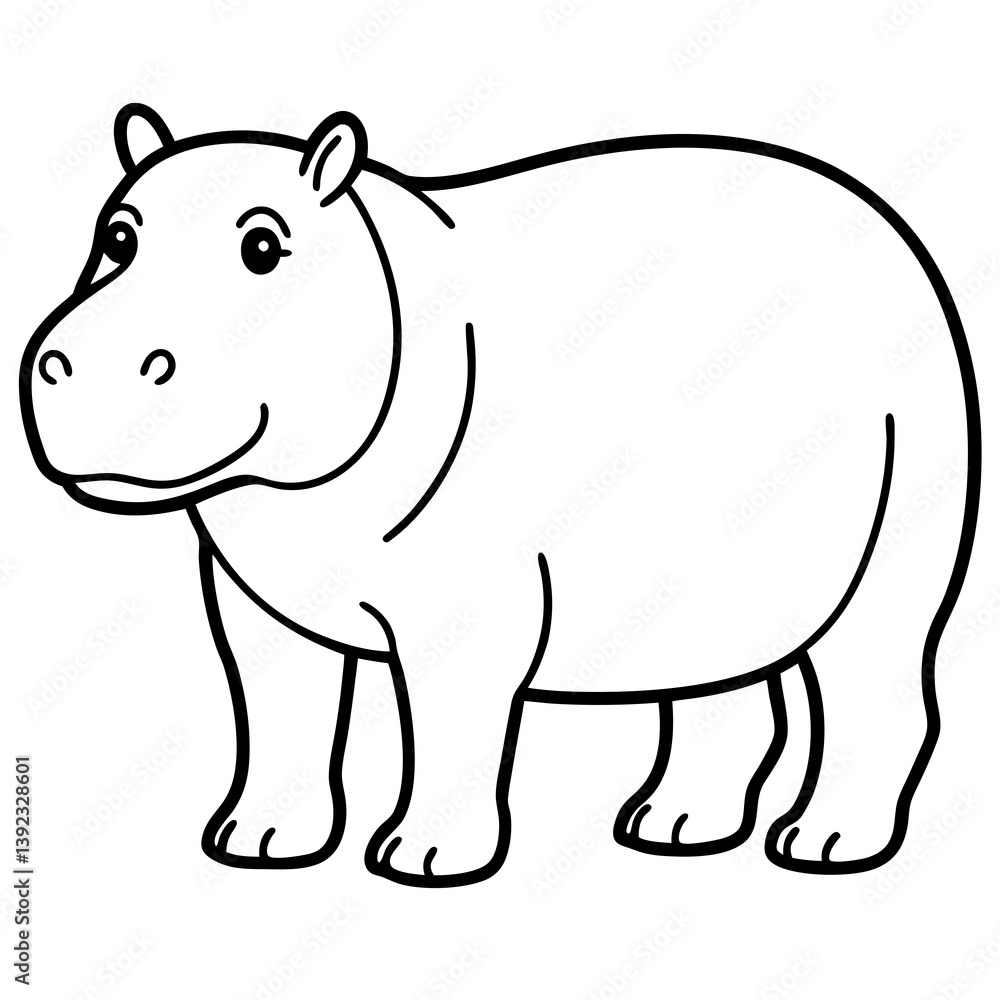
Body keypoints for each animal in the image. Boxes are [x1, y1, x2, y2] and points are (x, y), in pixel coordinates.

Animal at [20, 104, 980, 886]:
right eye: (116, 237)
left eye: (265, 246)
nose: (86, 366)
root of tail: (896, 229)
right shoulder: (251, 597)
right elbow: (275, 712)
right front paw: (255, 844)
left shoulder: (469, 604)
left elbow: (451, 725)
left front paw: (421, 861)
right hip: (720, 562)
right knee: (723, 672)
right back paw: (670, 828)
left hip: (899, 534)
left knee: (878, 669)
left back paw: (824, 846)